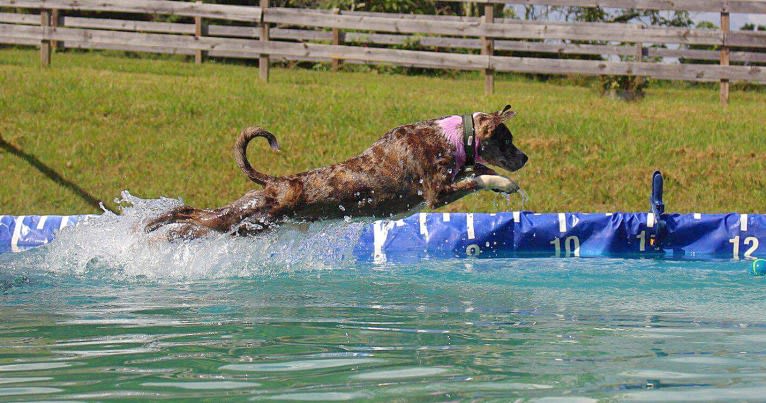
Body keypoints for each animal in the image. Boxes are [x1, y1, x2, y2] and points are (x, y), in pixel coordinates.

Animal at [144, 107, 528, 240]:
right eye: (508, 140)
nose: (524, 158)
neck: (455, 136)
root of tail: (275, 182)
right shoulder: (436, 193)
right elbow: (478, 177)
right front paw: (506, 182)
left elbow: (476, 167)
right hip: (244, 216)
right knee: (189, 212)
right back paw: (152, 224)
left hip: (246, 225)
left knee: (192, 226)